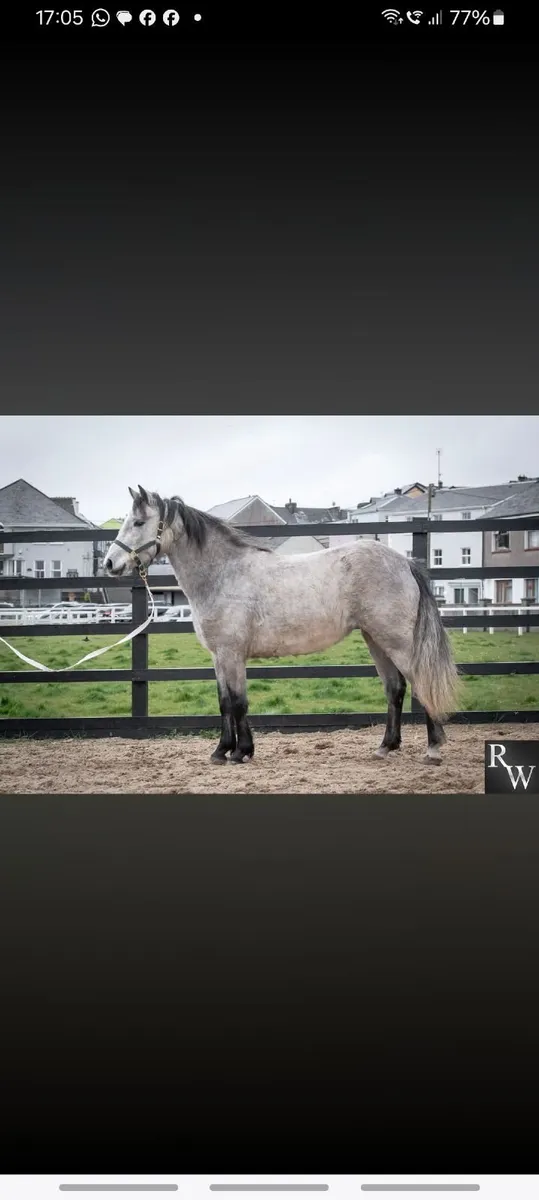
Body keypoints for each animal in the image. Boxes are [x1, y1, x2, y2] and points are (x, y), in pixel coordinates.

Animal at [104, 486, 459, 766]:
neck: (225, 574)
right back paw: (386, 747)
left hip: (397, 641)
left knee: (421, 684)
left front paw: (240, 752)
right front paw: (222, 751)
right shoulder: (219, 657)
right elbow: (225, 702)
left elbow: (238, 702)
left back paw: (433, 749)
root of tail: (405, 562)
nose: (109, 563)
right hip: (376, 640)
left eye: (139, 522)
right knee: (395, 688)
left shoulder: (232, 654)